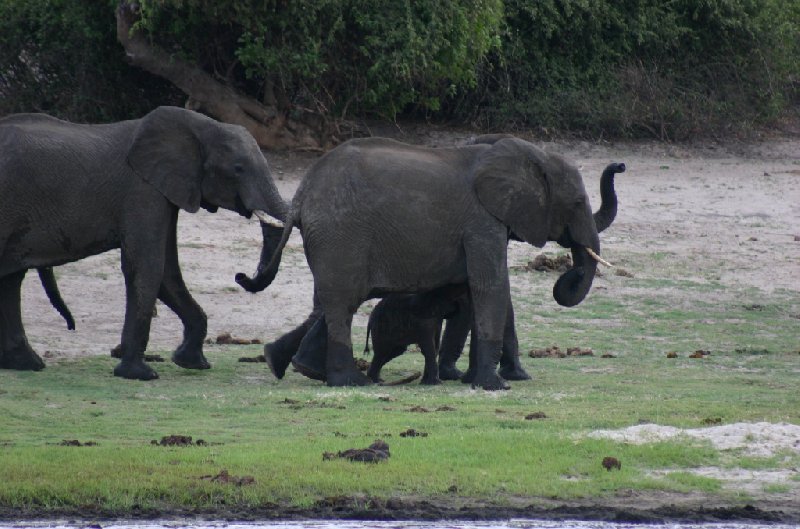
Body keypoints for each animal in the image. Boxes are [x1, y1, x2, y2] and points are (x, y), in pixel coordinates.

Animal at [0, 106, 288, 380]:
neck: (200, 126)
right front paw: (141, 375)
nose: (241, 276)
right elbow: (148, 266)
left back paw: (27, 364)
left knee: (12, 279)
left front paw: (193, 363)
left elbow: (168, 271)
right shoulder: (142, 190)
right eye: (238, 168)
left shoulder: (165, 191)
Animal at [238, 138, 624, 390]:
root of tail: (301, 196)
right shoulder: (481, 222)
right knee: (342, 304)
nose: (619, 165)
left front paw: (487, 380)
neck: (532, 156)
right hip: (341, 236)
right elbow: (491, 286)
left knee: (333, 302)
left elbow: (479, 291)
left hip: (332, 242)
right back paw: (349, 382)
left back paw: (289, 364)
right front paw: (495, 386)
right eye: (577, 203)